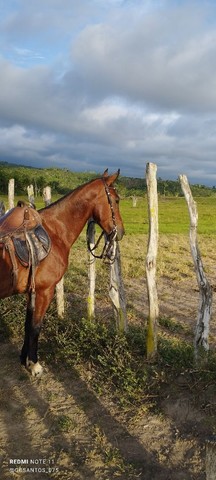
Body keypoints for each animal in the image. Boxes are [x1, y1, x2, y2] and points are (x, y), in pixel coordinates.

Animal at [0, 171, 124, 376]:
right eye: (116, 200)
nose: (120, 232)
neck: (55, 230)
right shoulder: (45, 291)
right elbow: (36, 327)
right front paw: (34, 364)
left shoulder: (32, 291)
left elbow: (28, 325)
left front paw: (24, 359)